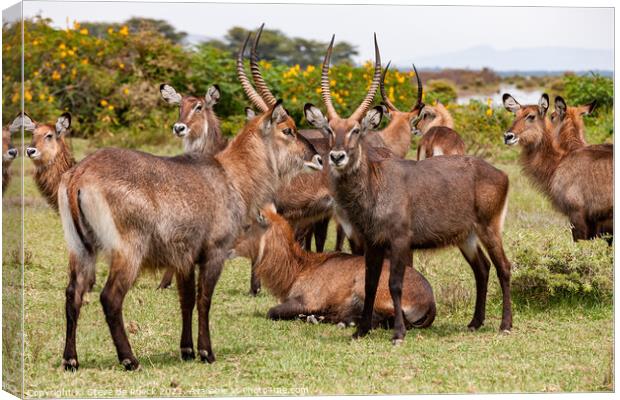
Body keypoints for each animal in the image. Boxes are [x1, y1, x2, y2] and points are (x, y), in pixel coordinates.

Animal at [57, 89, 318, 370]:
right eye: (288, 130)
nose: (317, 157)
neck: (232, 176)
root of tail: (80, 173)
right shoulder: (214, 252)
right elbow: (204, 300)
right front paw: (206, 352)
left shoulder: (183, 258)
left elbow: (187, 300)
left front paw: (187, 350)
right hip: (129, 251)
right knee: (110, 297)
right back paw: (130, 359)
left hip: (80, 248)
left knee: (73, 294)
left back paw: (71, 359)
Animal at [229, 205, 436, 330]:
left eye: (246, 225)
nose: (227, 246)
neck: (299, 268)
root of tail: (430, 299)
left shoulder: (308, 300)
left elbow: (272, 311)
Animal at [306, 34, 512, 344]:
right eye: (329, 129)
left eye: (356, 130)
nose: (337, 156)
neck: (375, 185)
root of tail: (500, 173)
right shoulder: (373, 242)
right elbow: (370, 283)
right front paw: (361, 330)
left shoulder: (401, 241)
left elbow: (395, 284)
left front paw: (398, 333)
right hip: (466, 236)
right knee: (483, 269)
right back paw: (475, 322)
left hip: (489, 228)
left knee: (504, 267)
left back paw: (505, 325)